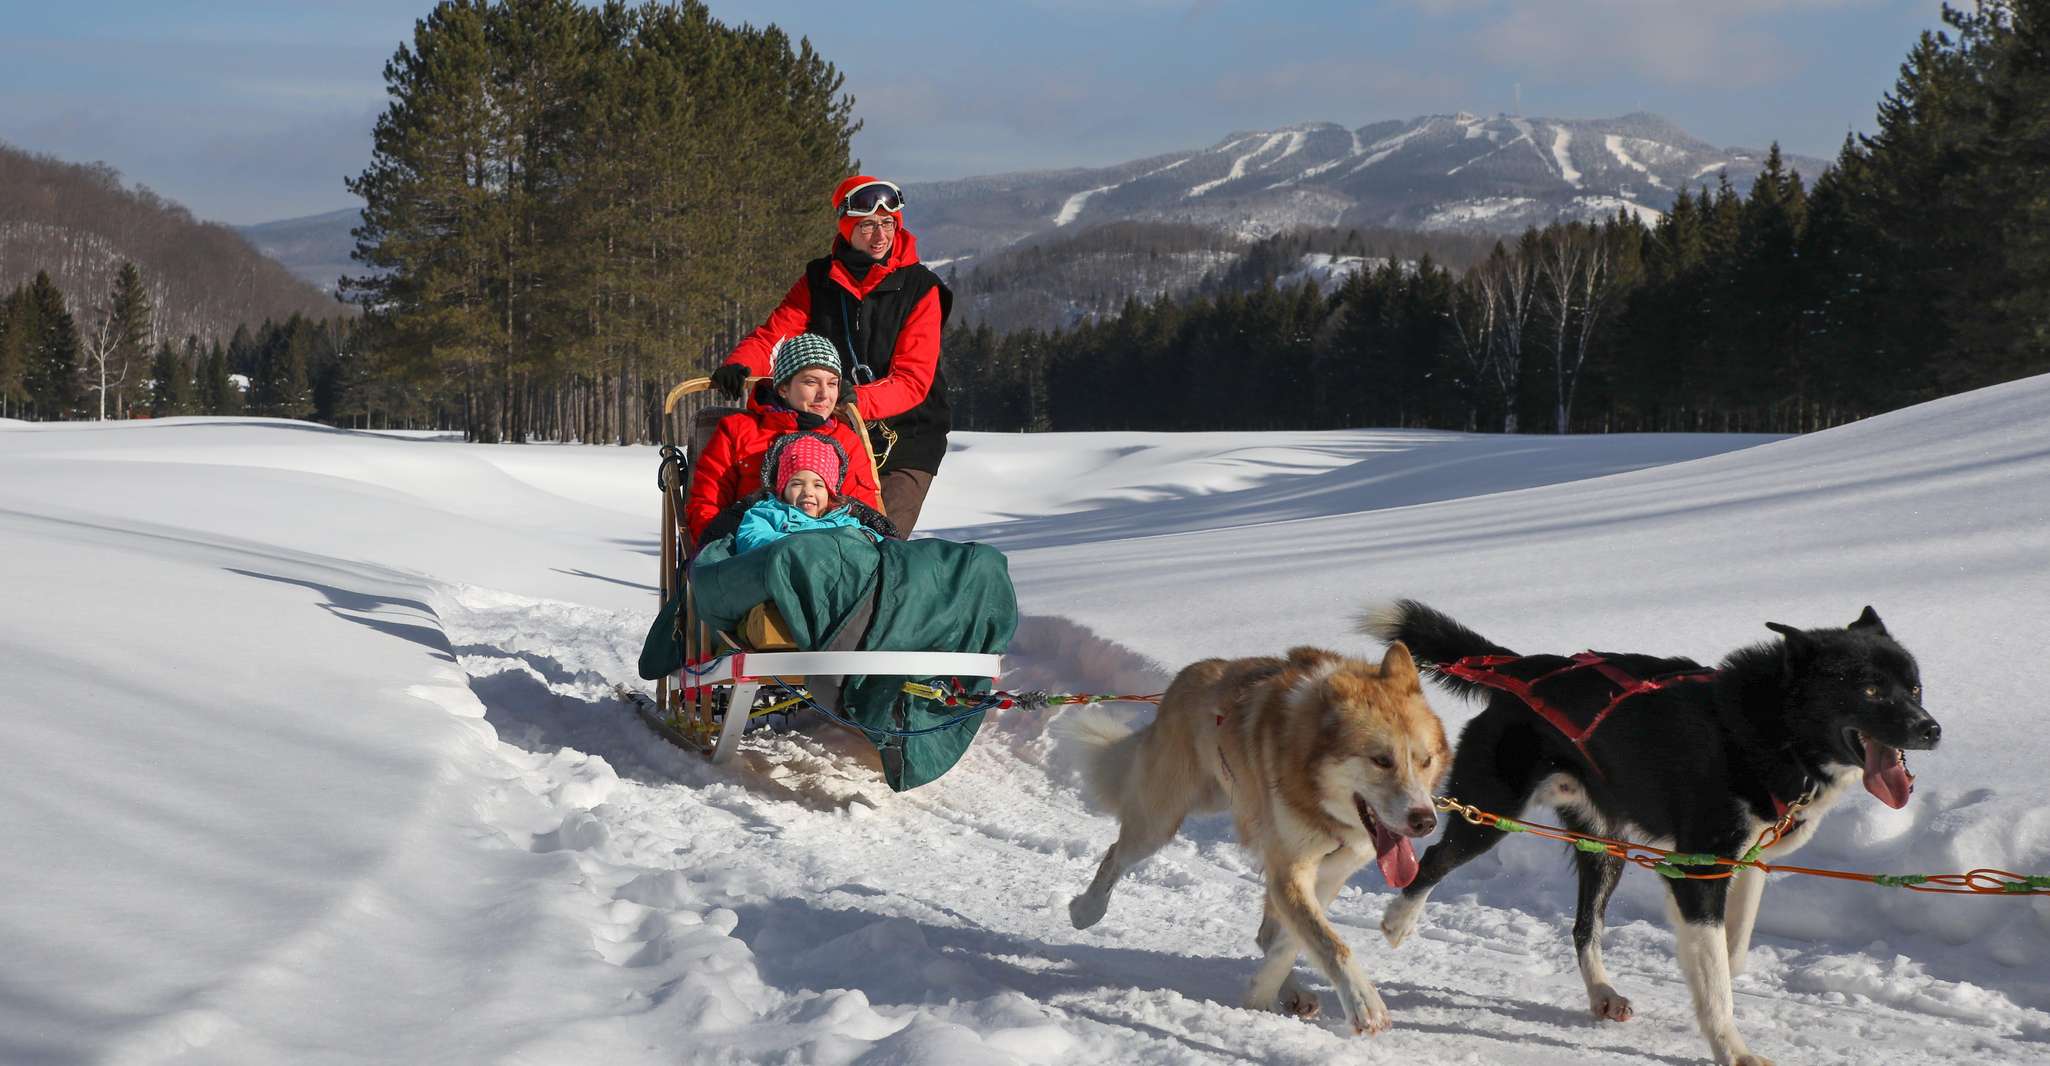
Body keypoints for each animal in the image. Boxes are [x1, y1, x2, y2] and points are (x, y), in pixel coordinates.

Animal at [1066, 639, 1451, 1033]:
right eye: (1381, 760)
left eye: (1425, 761)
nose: (1425, 821)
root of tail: (1188, 676)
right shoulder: (1290, 870)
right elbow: (1330, 944)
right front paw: (1363, 1002)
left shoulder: (1328, 872)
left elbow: (1293, 941)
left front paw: (1263, 990)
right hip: (1160, 820)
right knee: (1115, 853)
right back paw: (1086, 909)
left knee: (1269, 932)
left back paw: (1292, 989)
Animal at [1361, 598, 1935, 1066]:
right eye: (1869, 689)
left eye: (1914, 687)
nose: (1932, 729)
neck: (1769, 730)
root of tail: (1526, 670)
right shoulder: (1698, 871)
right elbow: (1717, 973)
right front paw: (1733, 1048)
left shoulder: (1743, 865)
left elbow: (1729, 955)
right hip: (1487, 814)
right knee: (1434, 858)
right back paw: (1398, 920)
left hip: (1605, 846)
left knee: (1584, 926)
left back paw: (1602, 993)